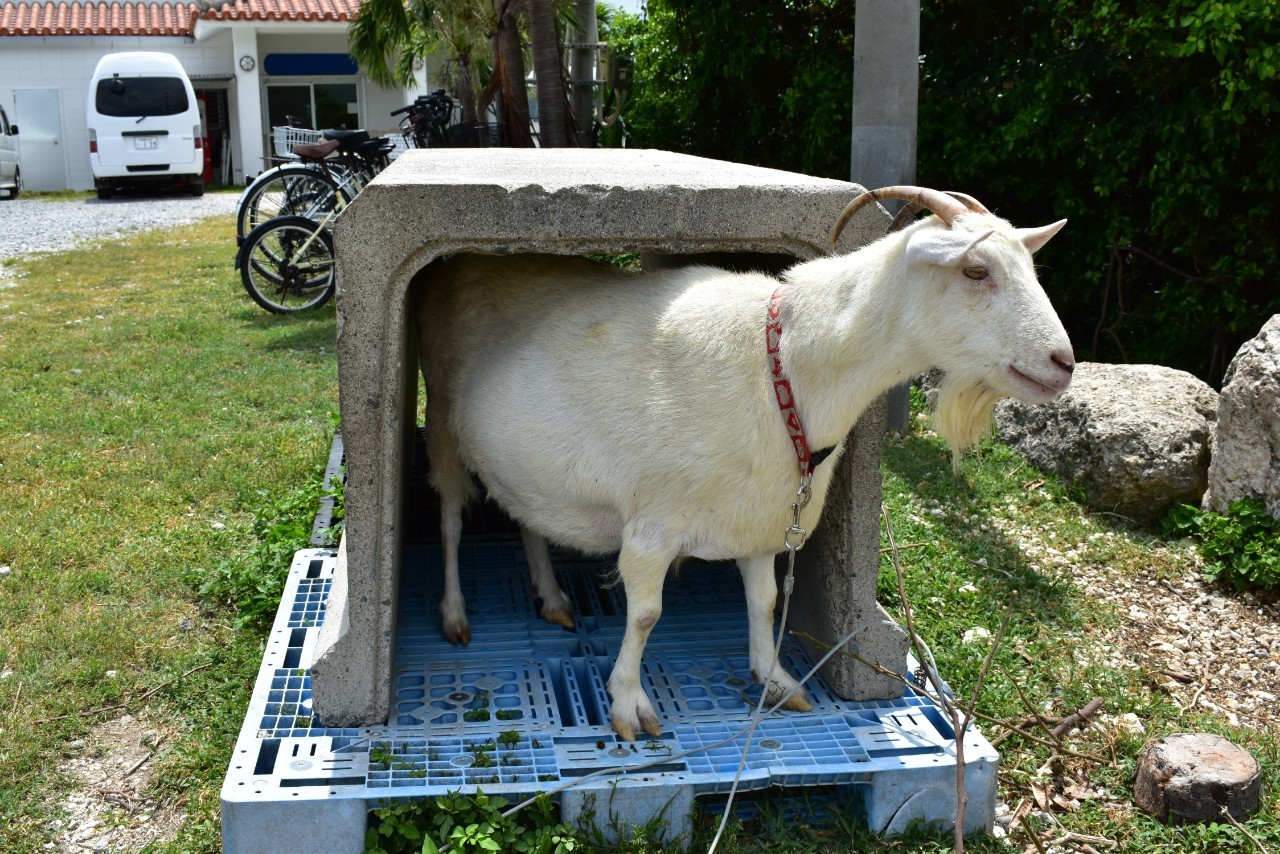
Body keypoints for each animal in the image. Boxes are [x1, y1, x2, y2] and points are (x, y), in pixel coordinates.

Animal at [414, 186, 1075, 742]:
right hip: (442, 416)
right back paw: (454, 614)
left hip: (524, 463)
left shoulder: (761, 519)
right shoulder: (653, 523)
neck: (786, 367)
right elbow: (646, 614)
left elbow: (764, 602)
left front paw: (776, 679)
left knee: (526, 514)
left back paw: (551, 597)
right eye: (975, 270)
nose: (1063, 363)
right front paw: (627, 704)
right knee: (448, 518)